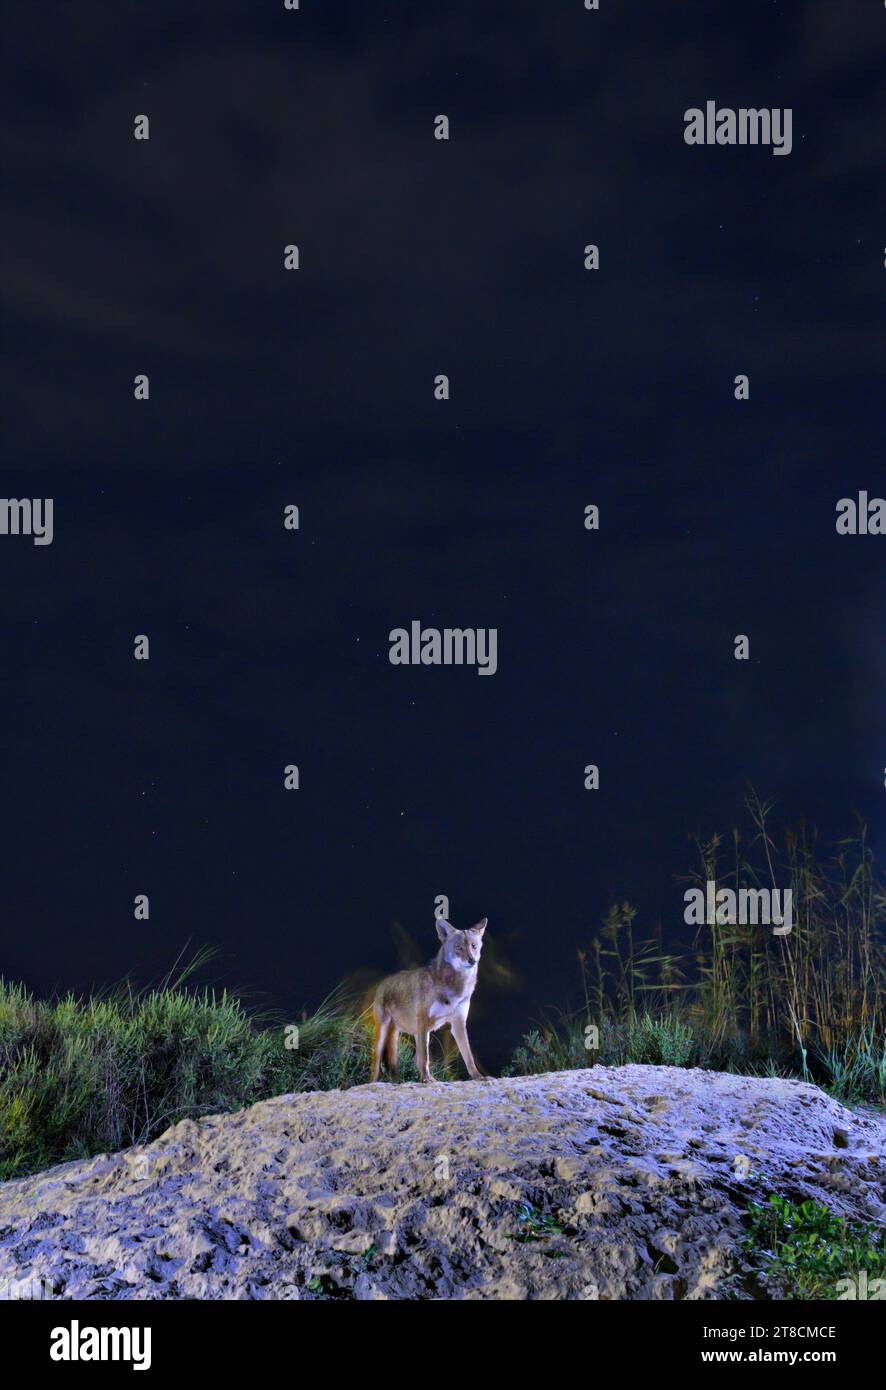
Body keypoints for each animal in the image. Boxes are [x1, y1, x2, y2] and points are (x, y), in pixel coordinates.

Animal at [370, 917, 488, 1082]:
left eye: (474, 946)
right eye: (459, 948)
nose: (472, 961)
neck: (454, 988)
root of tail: (382, 983)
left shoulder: (458, 1023)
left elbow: (469, 1057)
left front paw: (478, 1077)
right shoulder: (423, 1021)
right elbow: (425, 1058)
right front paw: (427, 1079)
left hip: (416, 1034)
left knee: (408, 1062)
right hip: (386, 1032)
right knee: (376, 1065)